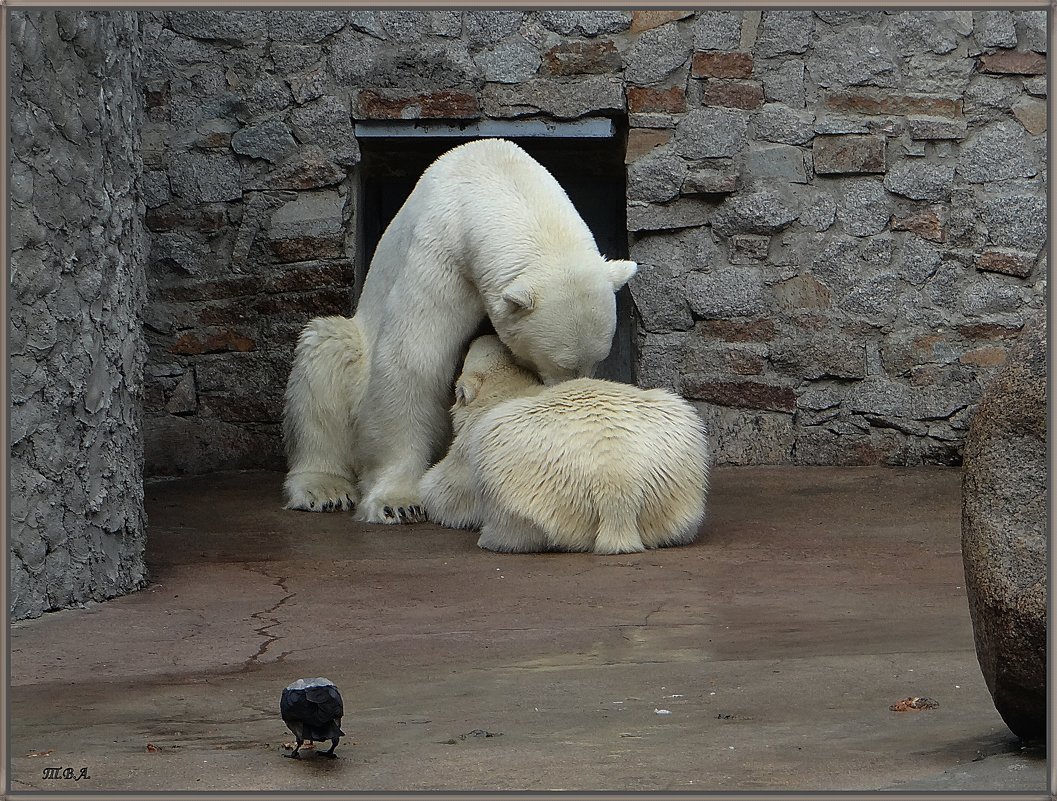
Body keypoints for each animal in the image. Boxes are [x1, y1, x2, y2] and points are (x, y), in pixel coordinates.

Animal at [281, 138, 638, 524]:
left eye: (595, 363)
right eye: (560, 365)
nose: (568, 392)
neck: (492, 176)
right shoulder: (442, 253)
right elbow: (414, 359)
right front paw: (398, 502)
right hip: (350, 348)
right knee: (326, 357)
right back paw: (323, 488)